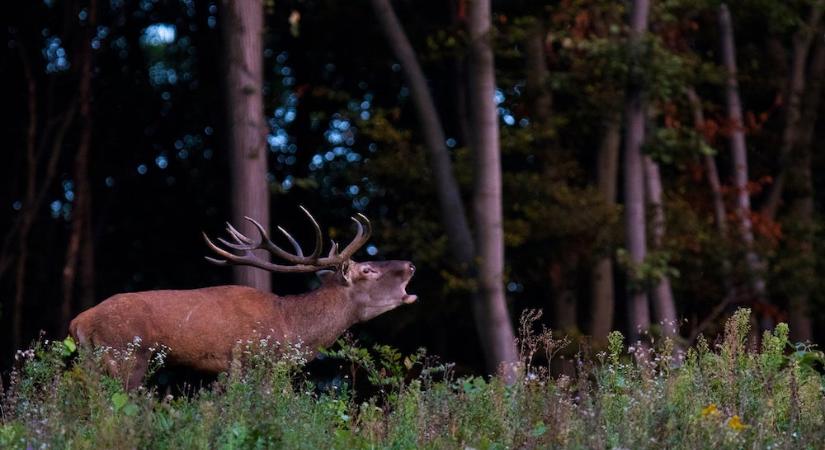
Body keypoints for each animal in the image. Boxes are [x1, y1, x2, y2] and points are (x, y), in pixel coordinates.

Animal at [69, 209, 418, 388]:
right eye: (368, 270)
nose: (411, 265)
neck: (291, 327)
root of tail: (78, 321)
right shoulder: (251, 362)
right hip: (127, 356)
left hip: (94, 361)